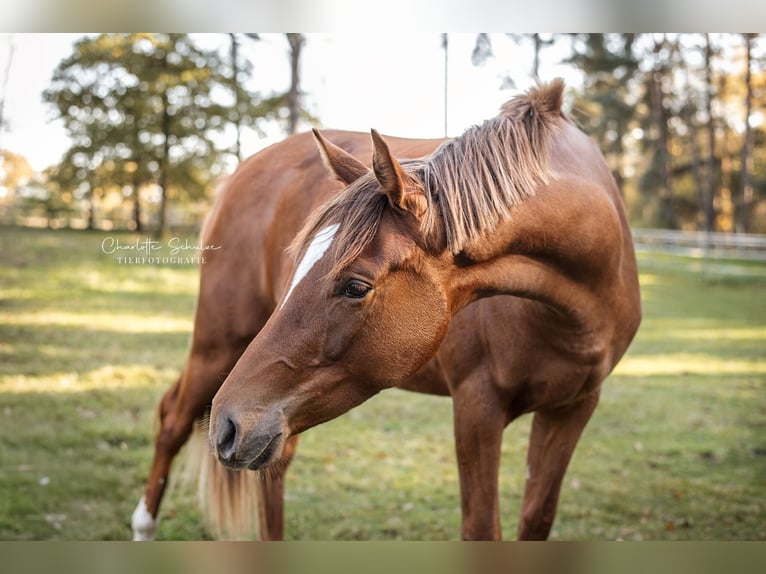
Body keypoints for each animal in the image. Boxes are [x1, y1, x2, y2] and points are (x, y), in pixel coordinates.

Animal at [132, 80, 640, 540]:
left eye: (355, 287)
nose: (229, 425)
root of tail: (242, 171)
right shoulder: (477, 406)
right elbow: (482, 528)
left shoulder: (572, 408)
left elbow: (535, 520)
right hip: (219, 345)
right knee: (173, 419)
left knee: (273, 467)